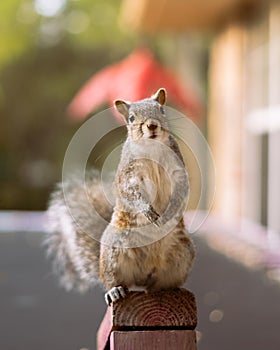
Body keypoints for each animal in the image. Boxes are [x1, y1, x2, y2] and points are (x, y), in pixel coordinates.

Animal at [45, 87, 195, 304]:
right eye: (131, 118)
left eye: (161, 110)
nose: (151, 125)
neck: (151, 148)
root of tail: (143, 277)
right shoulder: (129, 174)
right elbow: (130, 192)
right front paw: (147, 211)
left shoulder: (178, 170)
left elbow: (182, 189)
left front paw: (169, 212)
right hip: (113, 252)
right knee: (112, 279)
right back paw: (114, 291)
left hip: (182, 254)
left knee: (158, 285)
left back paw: (172, 290)